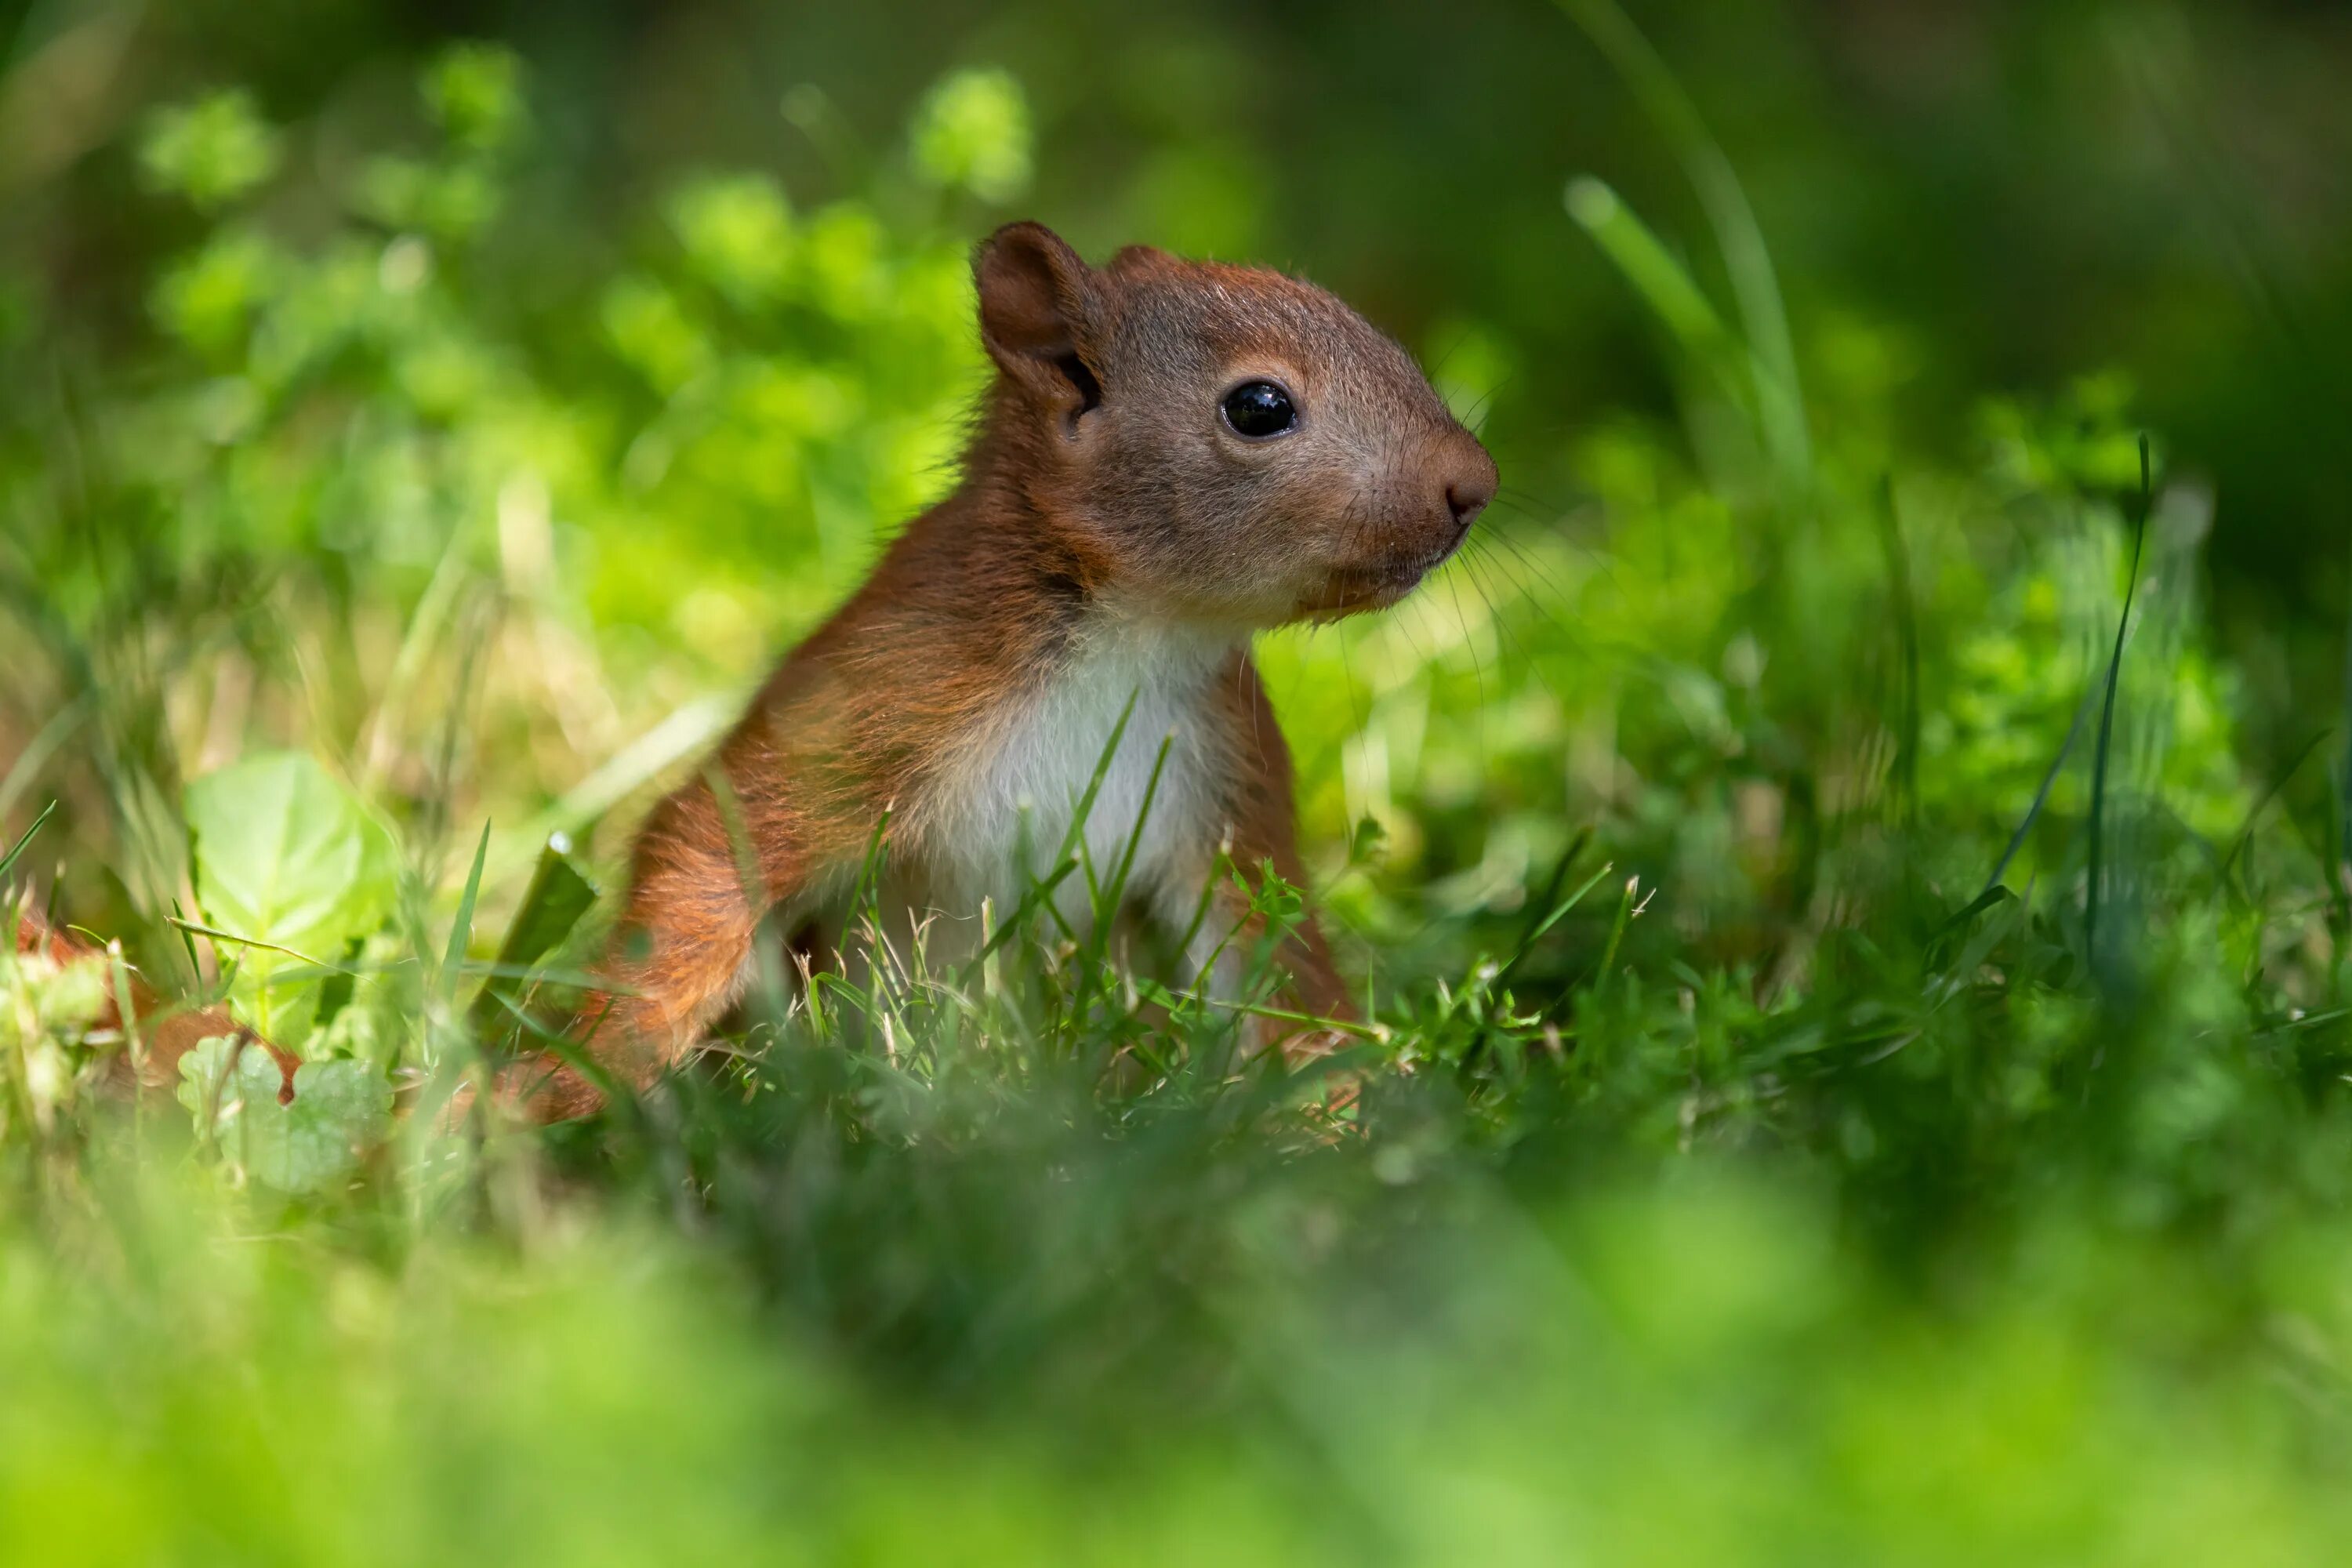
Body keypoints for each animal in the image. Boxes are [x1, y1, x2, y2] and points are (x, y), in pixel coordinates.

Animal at [524, 220, 1496, 1123]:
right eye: (1259, 406)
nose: (1476, 484)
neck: (1140, 634)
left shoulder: (1230, 784)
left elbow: (1277, 959)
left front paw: (1344, 1111)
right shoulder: (883, 693)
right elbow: (715, 850)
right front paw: (571, 1079)